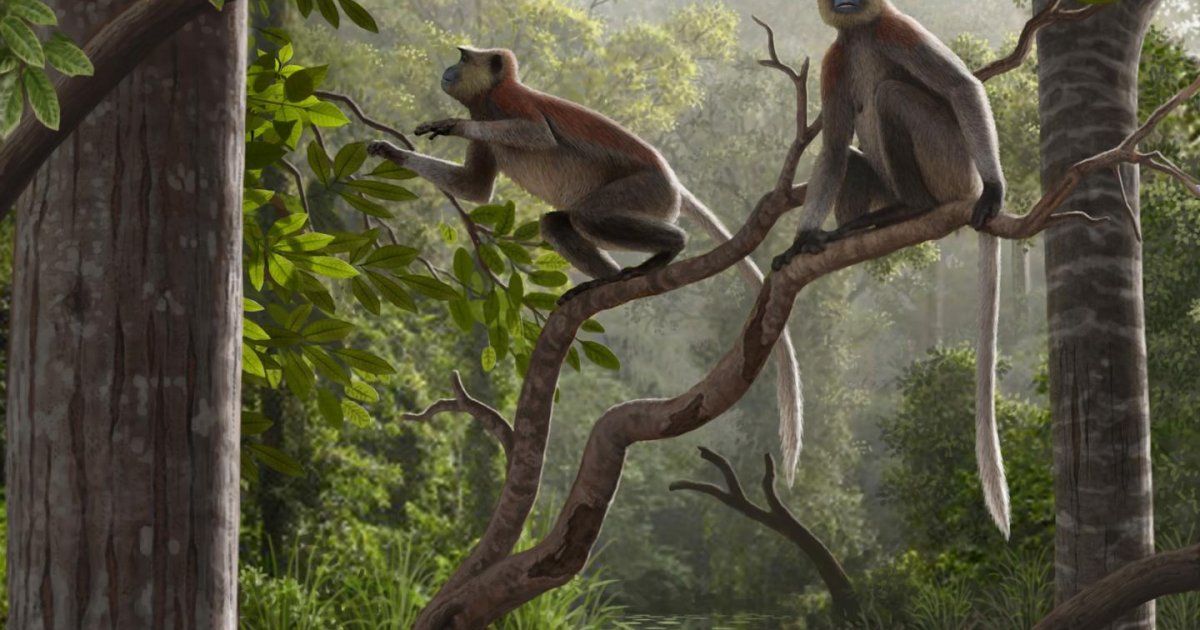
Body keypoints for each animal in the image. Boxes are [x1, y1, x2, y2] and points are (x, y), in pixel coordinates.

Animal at [366, 46, 806, 483]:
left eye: (462, 57)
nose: (449, 68)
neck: (489, 100)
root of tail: (673, 183)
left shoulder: (512, 102)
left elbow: (538, 135)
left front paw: (454, 125)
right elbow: (471, 189)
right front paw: (392, 151)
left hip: (646, 191)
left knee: (589, 216)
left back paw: (670, 248)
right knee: (558, 222)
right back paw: (605, 280)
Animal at [769, 0, 1010, 536]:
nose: (844, 5)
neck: (860, 36)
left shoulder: (896, 28)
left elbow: (961, 88)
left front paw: (998, 189)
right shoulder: (836, 59)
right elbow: (833, 146)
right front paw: (801, 240)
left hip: (949, 162)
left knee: (890, 96)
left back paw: (915, 207)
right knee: (854, 157)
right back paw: (864, 223)